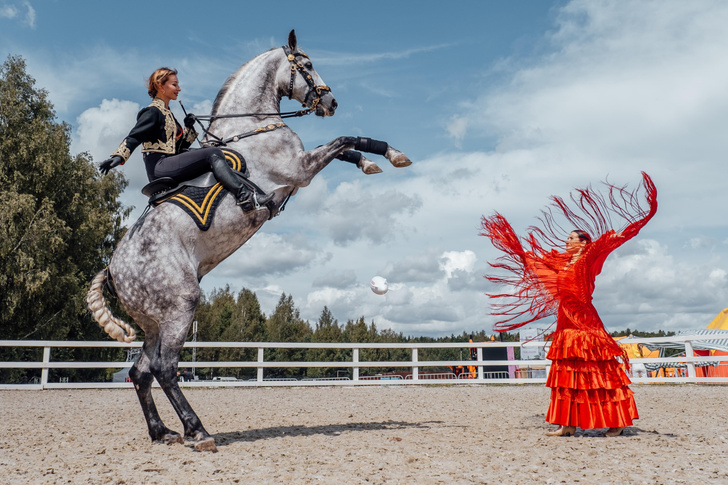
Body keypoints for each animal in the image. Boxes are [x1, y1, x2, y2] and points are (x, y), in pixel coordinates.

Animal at [85, 30, 410, 450]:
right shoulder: (299, 169)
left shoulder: (302, 166)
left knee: (141, 372)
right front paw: (389, 153)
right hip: (180, 305)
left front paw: (375, 160)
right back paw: (197, 431)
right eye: (307, 65)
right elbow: (345, 138)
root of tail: (112, 270)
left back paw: (162, 432)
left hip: (154, 321)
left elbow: (346, 147)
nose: (331, 102)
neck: (252, 125)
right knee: (165, 367)